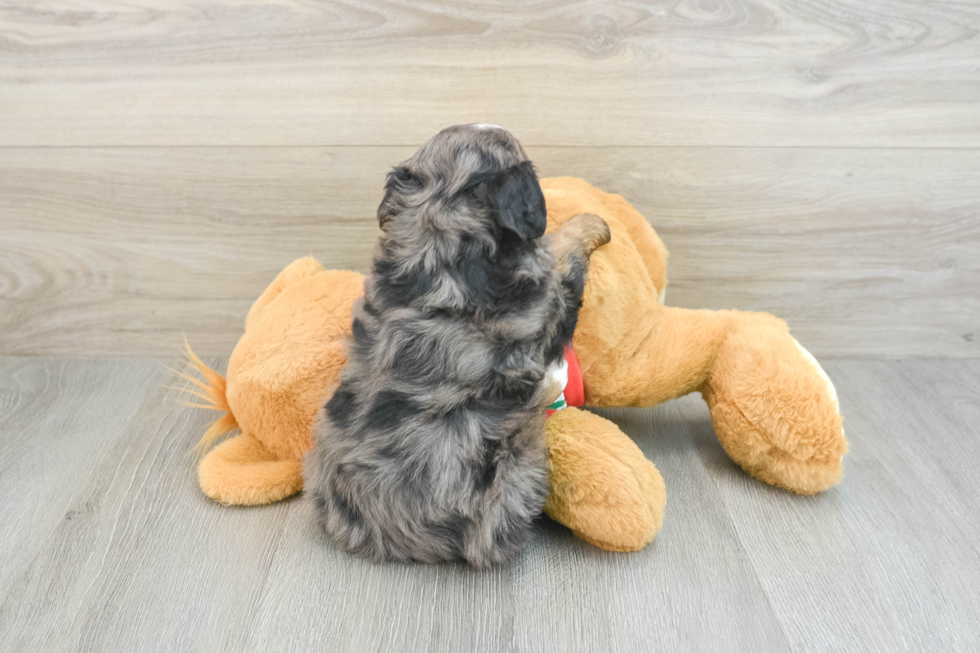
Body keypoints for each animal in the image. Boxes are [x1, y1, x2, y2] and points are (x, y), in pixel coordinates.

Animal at [306, 123, 612, 564]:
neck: (437, 241)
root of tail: (397, 541)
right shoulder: (549, 305)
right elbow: (563, 255)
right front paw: (592, 223)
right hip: (515, 469)